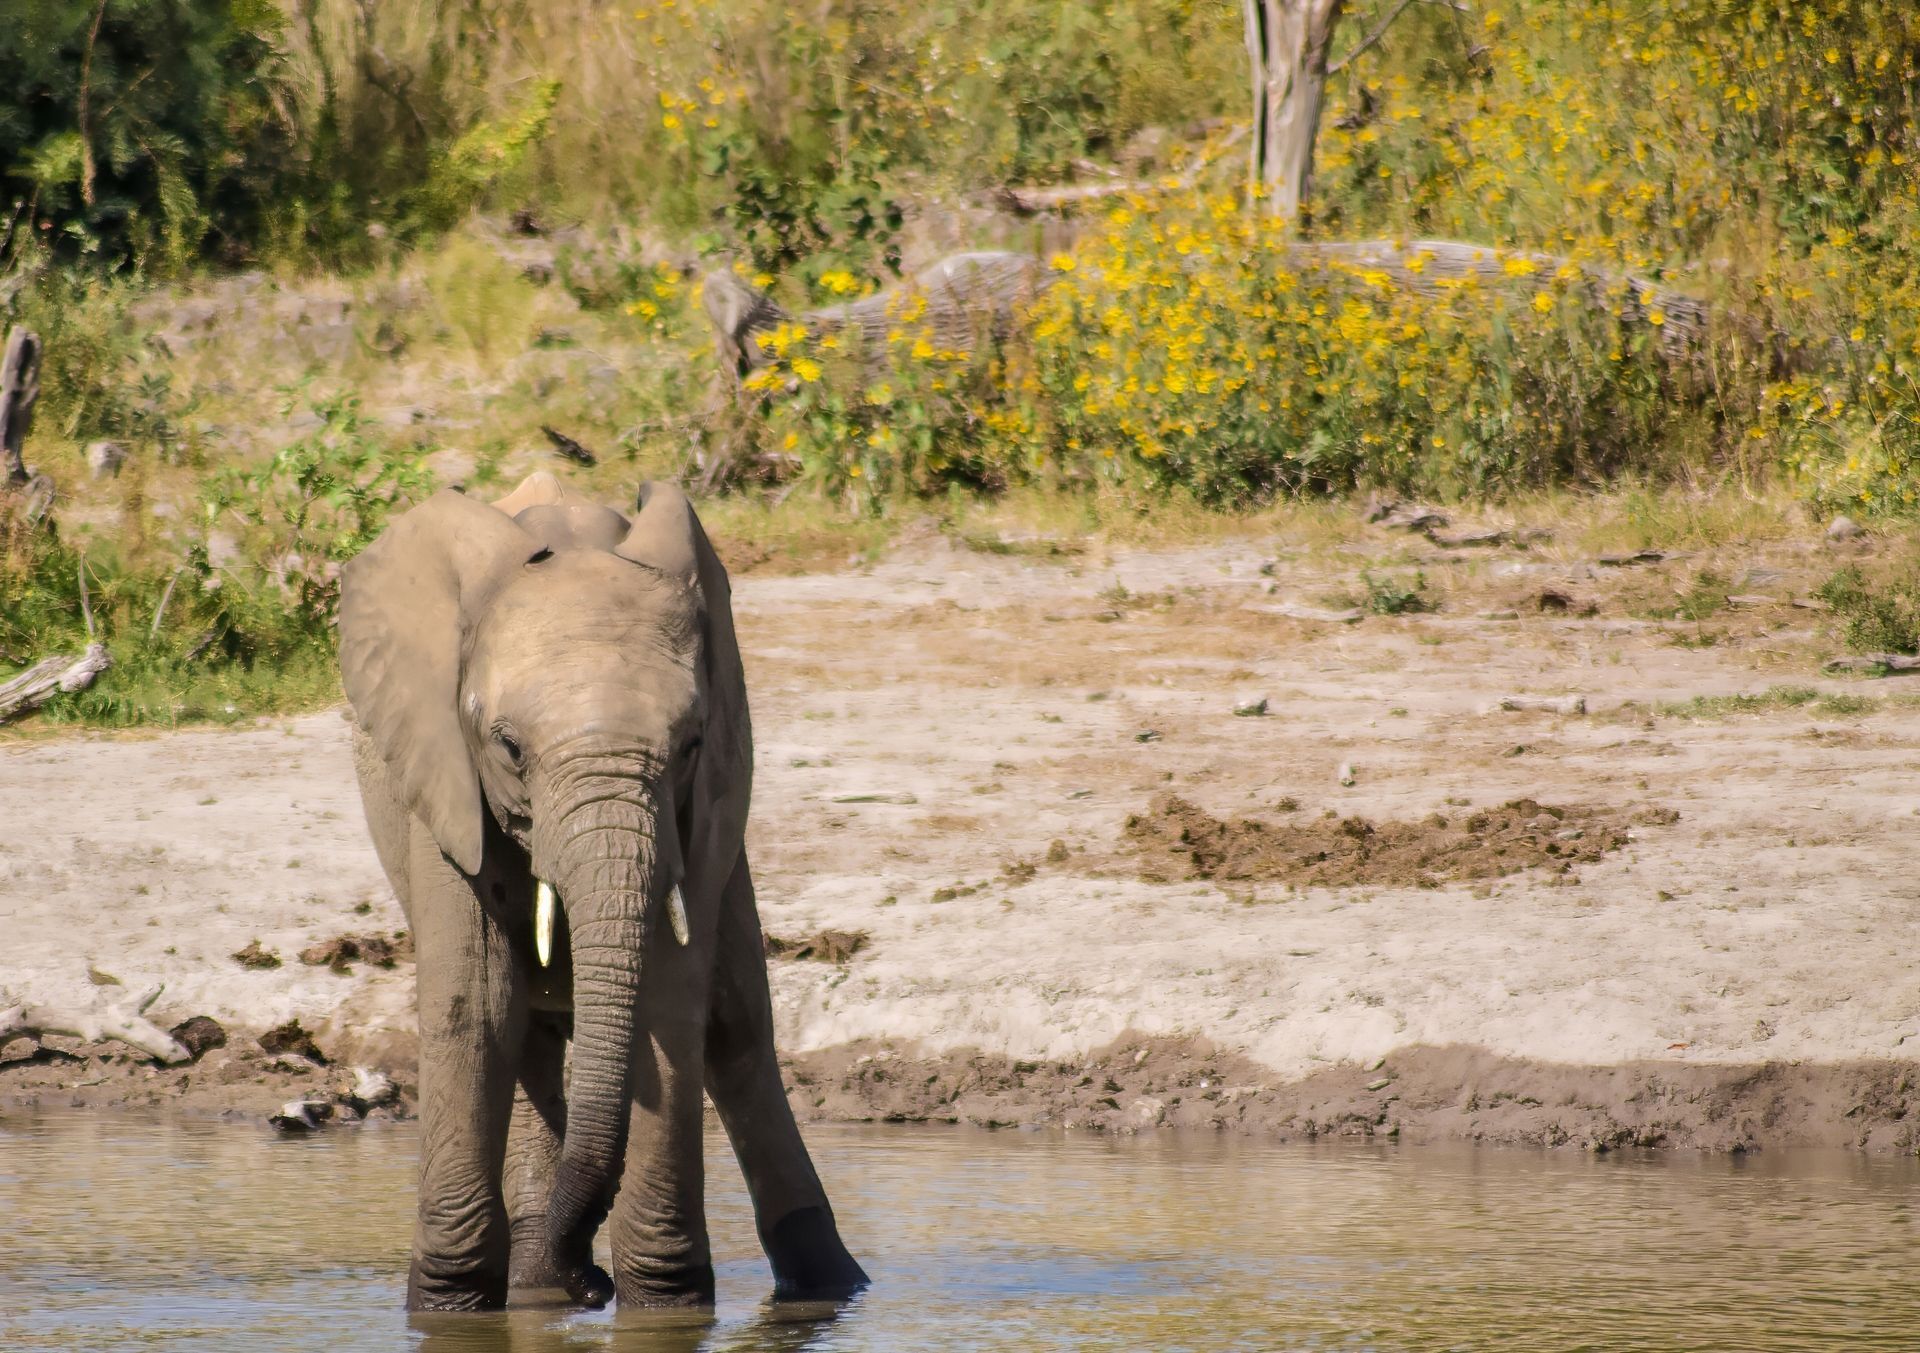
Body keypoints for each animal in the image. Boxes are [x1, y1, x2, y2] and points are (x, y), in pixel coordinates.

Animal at [336, 472, 864, 1305]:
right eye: (508, 747)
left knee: (737, 1024)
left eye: (690, 743)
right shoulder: (442, 775)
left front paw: (664, 1298)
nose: (589, 1282)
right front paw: (454, 1300)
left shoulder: (701, 804)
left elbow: (673, 1001)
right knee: (526, 1024)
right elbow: (476, 1004)